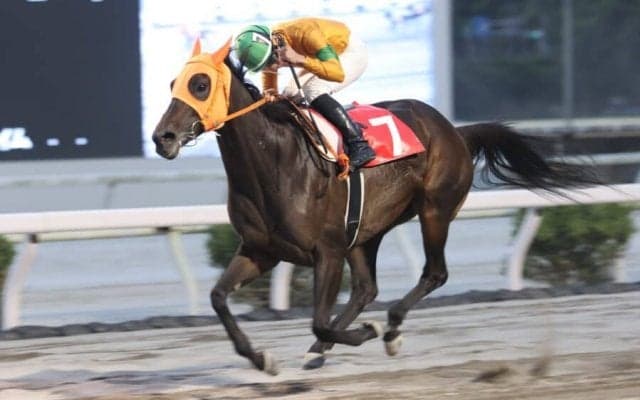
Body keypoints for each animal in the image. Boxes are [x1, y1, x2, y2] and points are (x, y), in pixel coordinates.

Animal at [152, 39, 597, 375]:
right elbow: (218, 298)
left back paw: (390, 330)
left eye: (201, 84)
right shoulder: (261, 250)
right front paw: (262, 358)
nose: (162, 137)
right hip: (367, 230)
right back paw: (324, 351)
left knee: (434, 273)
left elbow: (319, 319)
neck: (275, 161)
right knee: (367, 288)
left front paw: (365, 333)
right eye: (174, 82)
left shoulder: (327, 251)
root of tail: (455, 131)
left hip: (434, 210)